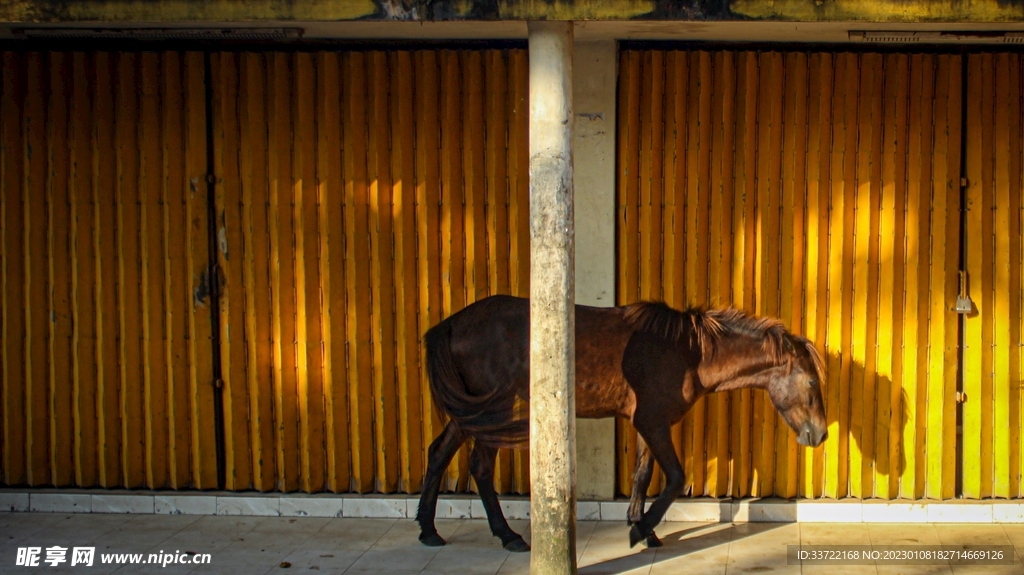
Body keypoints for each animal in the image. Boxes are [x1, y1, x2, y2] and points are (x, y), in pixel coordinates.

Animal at [414, 295, 827, 552]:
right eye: (811, 382)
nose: (820, 434)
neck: (687, 352)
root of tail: (451, 324)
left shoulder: (647, 423)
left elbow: (642, 475)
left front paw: (641, 528)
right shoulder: (652, 421)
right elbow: (675, 477)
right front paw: (641, 530)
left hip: (469, 412)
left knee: (437, 453)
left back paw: (428, 529)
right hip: (490, 412)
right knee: (480, 467)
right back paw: (508, 535)